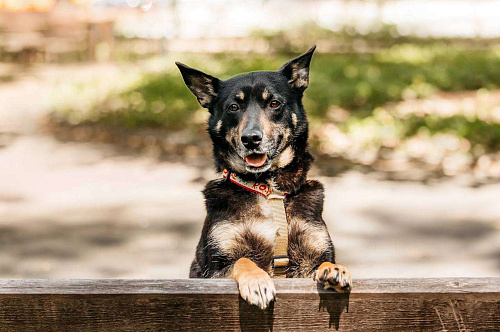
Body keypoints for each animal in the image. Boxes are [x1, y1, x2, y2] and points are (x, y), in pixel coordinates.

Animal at [176, 45, 352, 310]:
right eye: (233, 107)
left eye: (274, 103)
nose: (251, 139)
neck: (268, 189)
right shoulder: (215, 269)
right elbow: (243, 261)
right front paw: (257, 280)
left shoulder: (308, 259)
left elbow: (322, 262)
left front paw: (335, 269)